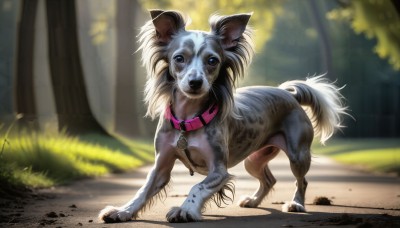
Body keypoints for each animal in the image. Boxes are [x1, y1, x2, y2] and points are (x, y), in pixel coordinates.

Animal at [98, 9, 348, 222]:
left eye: (212, 60)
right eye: (179, 58)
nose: (195, 82)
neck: (188, 120)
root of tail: (289, 94)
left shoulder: (219, 170)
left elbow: (197, 187)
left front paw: (186, 209)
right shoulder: (161, 165)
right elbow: (143, 190)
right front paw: (123, 211)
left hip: (298, 154)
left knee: (301, 180)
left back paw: (296, 204)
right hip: (253, 160)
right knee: (269, 179)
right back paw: (253, 201)